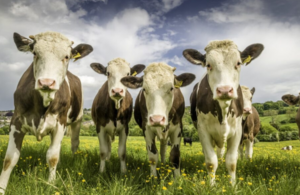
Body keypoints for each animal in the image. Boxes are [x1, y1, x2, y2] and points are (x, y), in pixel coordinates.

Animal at [0, 31, 92, 193]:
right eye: (35, 53)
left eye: (67, 56)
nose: (47, 82)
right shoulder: (16, 121)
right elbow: (10, 158)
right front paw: (1, 188)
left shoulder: (60, 123)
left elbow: (52, 156)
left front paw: (51, 184)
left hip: (78, 119)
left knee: (74, 143)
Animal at [184, 40, 264, 184]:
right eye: (208, 65)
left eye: (238, 63)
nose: (225, 90)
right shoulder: (203, 131)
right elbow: (211, 162)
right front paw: (211, 185)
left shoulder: (238, 131)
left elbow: (232, 161)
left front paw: (233, 185)